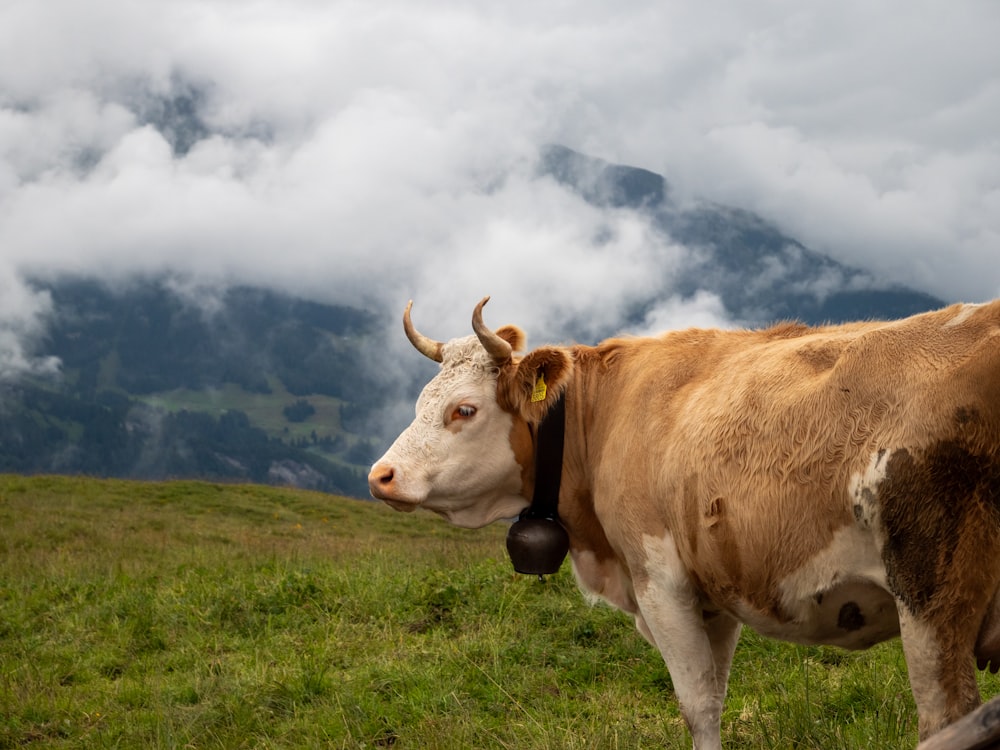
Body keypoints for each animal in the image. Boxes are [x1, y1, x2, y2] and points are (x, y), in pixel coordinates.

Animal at [368, 296, 1000, 748]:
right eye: (421, 400)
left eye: (464, 410)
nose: (381, 475)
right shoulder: (715, 590)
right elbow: (714, 696)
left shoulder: (661, 581)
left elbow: (695, 705)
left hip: (931, 593)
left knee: (947, 718)